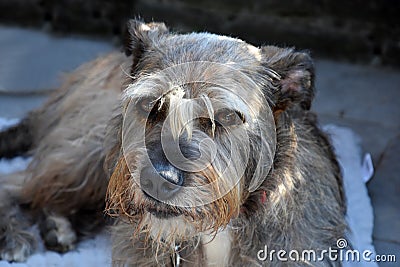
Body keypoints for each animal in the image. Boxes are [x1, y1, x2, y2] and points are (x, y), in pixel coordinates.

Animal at [0, 19, 346, 266]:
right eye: (148, 104)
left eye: (227, 116)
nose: (158, 180)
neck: (218, 232)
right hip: (90, 155)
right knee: (16, 182)